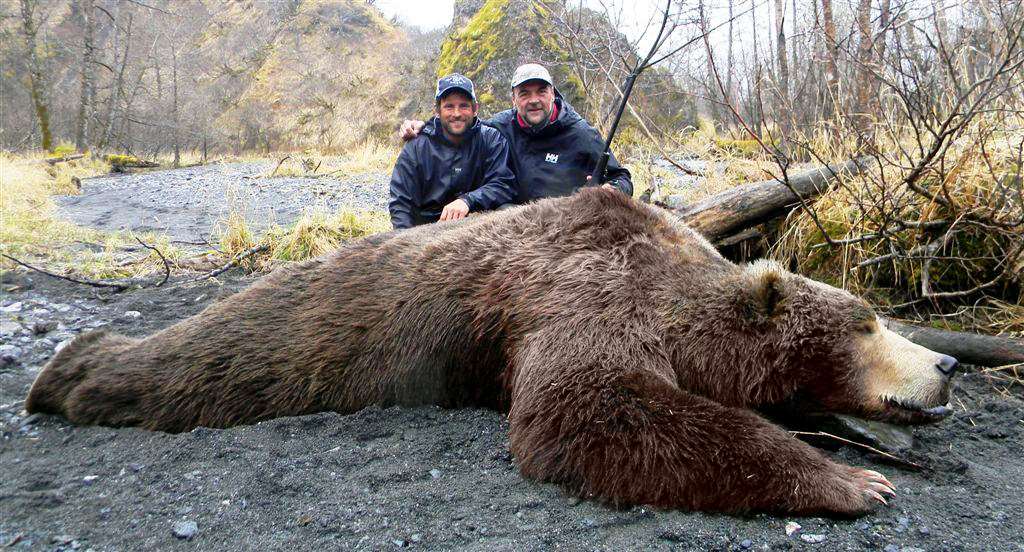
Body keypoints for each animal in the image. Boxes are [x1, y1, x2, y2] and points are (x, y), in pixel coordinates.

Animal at [25, 188, 958, 516]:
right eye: (867, 322)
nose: (947, 366)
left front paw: (871, 451)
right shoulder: (588, 292)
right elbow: (585, 410)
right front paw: (849, 480)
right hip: (302, 329)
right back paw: (67, 369)